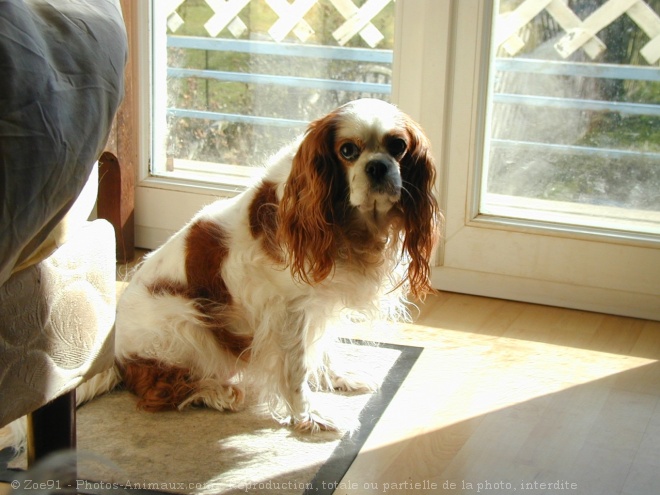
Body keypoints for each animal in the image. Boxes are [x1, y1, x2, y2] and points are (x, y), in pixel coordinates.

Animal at [78, 99, 438, 432]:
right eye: (348, 150)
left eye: (398, 146)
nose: (377, 167)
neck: (347, 222)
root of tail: (116, 359)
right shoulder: (287, 311)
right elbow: (296, 368)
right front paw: (309, 416)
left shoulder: (319, 304)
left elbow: (322, 346)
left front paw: (337, 378)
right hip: (186, 320)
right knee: (157, 389)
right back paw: (215, 392)